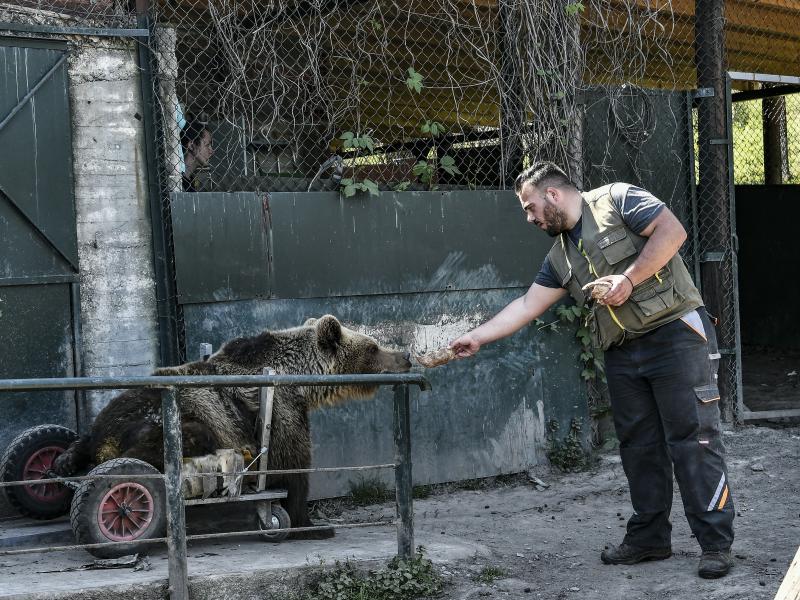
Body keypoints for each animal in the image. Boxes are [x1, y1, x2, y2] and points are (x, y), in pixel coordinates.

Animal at [54, 316, 412, 536]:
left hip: (104, 423)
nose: (406, 356)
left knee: (76, 445)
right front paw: (309, 524)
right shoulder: (282, 412)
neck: (298, 379)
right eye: (373, 346)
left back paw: (62, 462)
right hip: (165, 419)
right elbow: (293, 470)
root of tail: (104, 439)